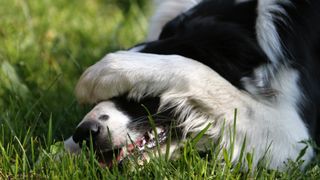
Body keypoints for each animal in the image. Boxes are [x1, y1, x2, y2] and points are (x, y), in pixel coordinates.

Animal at [63, 0, 320, 169]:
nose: (84, 134)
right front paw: (64, 151)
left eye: (138, 93)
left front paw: (105, 71)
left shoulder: (294, 138)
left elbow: (202, 74)